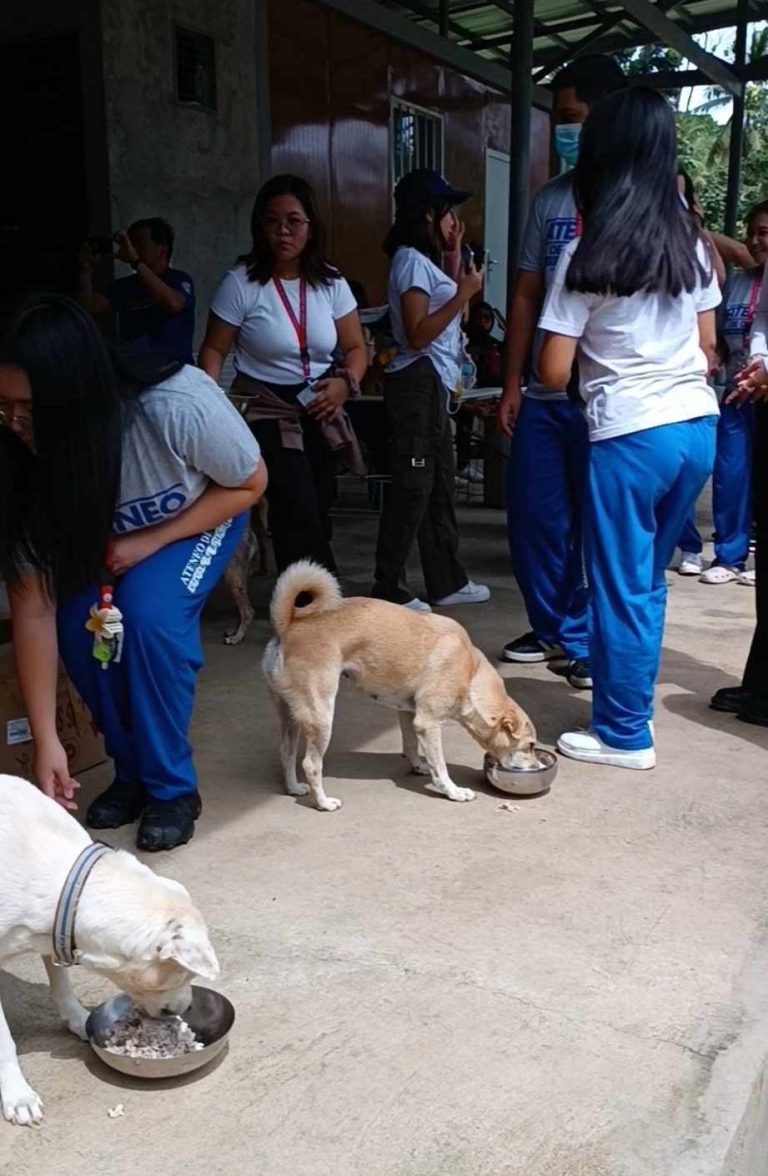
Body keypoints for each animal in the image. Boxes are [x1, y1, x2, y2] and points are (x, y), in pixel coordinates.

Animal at [0, 776, 218, 1124]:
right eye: (181, 978)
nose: (187, 1008)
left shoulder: (56, 932)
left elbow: (61, 983)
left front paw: (78, 1019)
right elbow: (4, 1041)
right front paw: (18, 1095)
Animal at [262, 559, 533, 809]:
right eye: (530, 746)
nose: (538, 763)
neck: (471, 671)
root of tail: (288, 627)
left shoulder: (409, 713)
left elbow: (411, 745)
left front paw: (419, 766)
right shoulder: (428, 722)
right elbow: (440, 766)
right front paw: (452, 791)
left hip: (291, 714)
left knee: (286, 752)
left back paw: (294, 787)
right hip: (321, 715)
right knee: (310, 764)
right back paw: (323, 802)